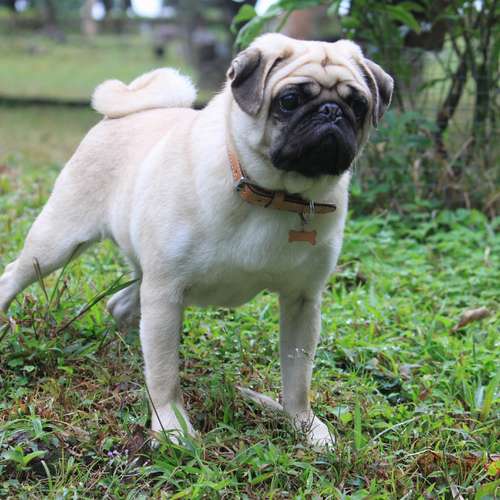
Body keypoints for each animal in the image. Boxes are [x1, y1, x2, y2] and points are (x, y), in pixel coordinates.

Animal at [0, 34, 393, 447]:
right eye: (289, 100)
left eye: (358, 105)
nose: (332, 112)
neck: (273, 193)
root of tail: (122, 114)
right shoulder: (165, 292)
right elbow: (164, 373)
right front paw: (171, 426)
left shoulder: (302, 301)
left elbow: (298, 375)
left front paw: (303, 424)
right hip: (58, 242)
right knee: (14, 275)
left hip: (143, 275)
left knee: (121, 306)